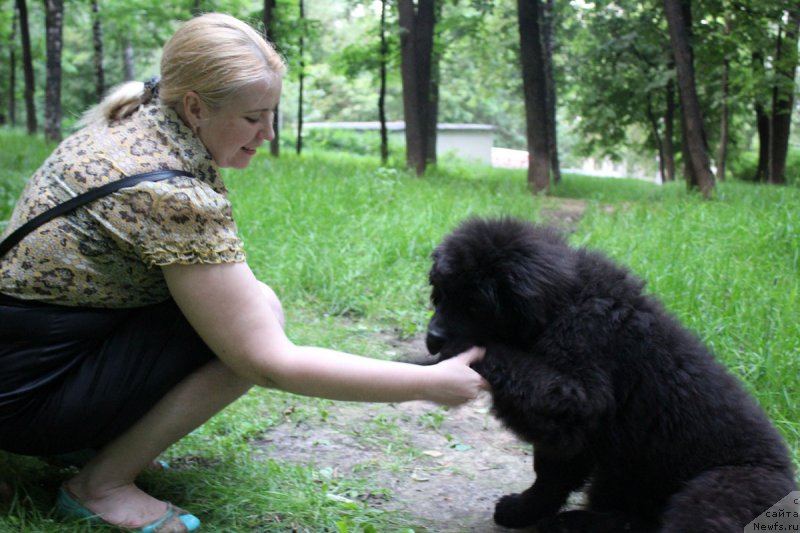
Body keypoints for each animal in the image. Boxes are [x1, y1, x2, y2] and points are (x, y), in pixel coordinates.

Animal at [424, 217, 792, 532]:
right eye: (441, 294)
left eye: (475, 306)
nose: (433, 338)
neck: (561, 306)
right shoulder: (577, 431)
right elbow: (551, 474)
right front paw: (523, 509)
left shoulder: (578, 395)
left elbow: (505, 360)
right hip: (619, 476)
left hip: (714, 493)